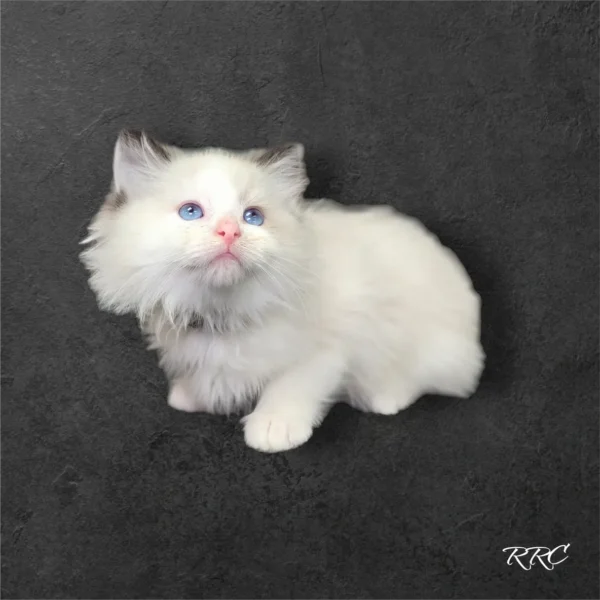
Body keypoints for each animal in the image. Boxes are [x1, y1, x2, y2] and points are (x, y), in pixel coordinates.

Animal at [81, 130, 482, 450]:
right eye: (191, 212)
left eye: (253, 217)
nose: (230, 231)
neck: (224, 311)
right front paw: (189, 398)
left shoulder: (327, 349)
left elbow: (291, 384)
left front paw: (273, 428)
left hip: (426, 348)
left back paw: (385, 399)